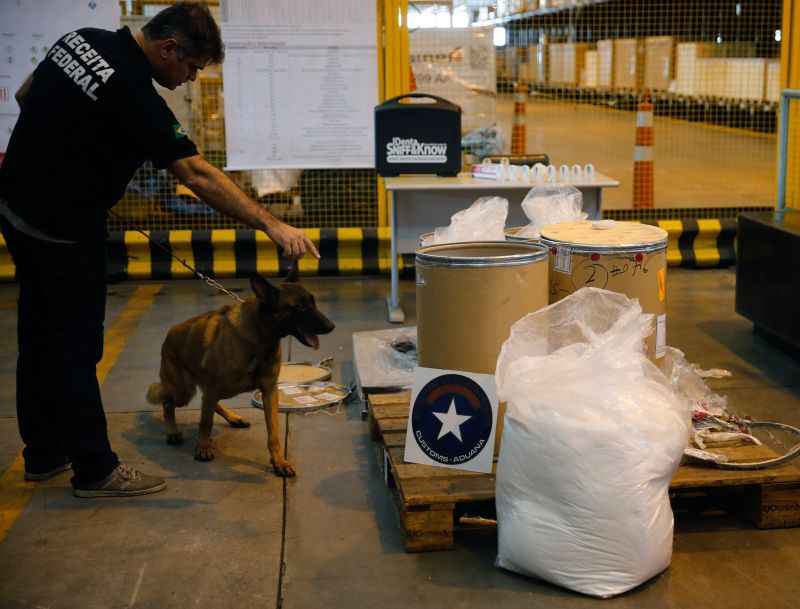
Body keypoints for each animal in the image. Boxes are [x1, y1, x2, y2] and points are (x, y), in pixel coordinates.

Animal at [146, 270, 334, 476]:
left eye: (313, 303)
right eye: (299, 307)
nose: (331, 326)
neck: (260, 337)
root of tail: (170, 334)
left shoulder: (269, 392)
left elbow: (273, 432)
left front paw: (278, 461)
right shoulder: (213, 388)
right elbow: (205, 422)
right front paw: (203, 446)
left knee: (209, 404)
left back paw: (233, 418)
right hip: (183, 391)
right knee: (169, 402)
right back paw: (172, 431)